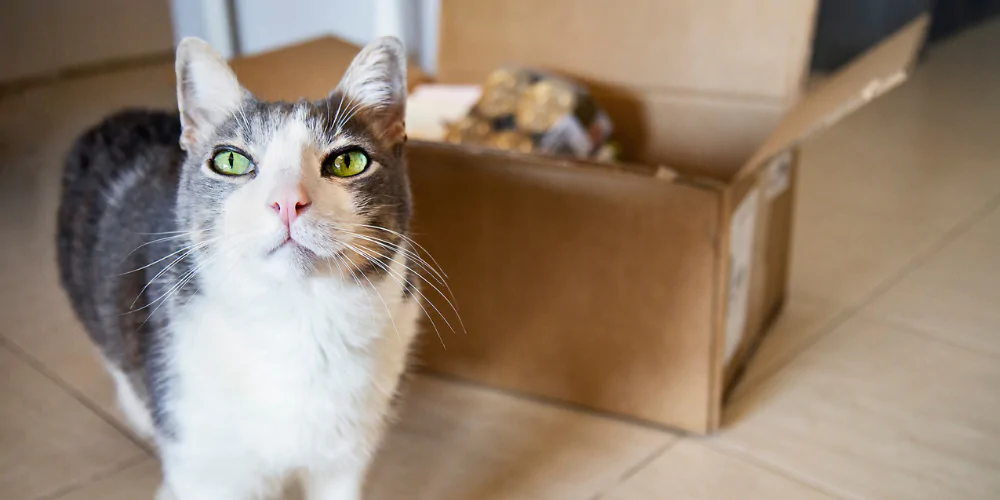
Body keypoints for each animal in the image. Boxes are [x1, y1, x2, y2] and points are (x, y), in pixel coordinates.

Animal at [57, 36, 426, 500]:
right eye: (231, 161)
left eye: (349, 162)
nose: (287, 201)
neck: (297, 322)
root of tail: (116, 117)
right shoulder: (206, 464)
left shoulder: (345, 459)